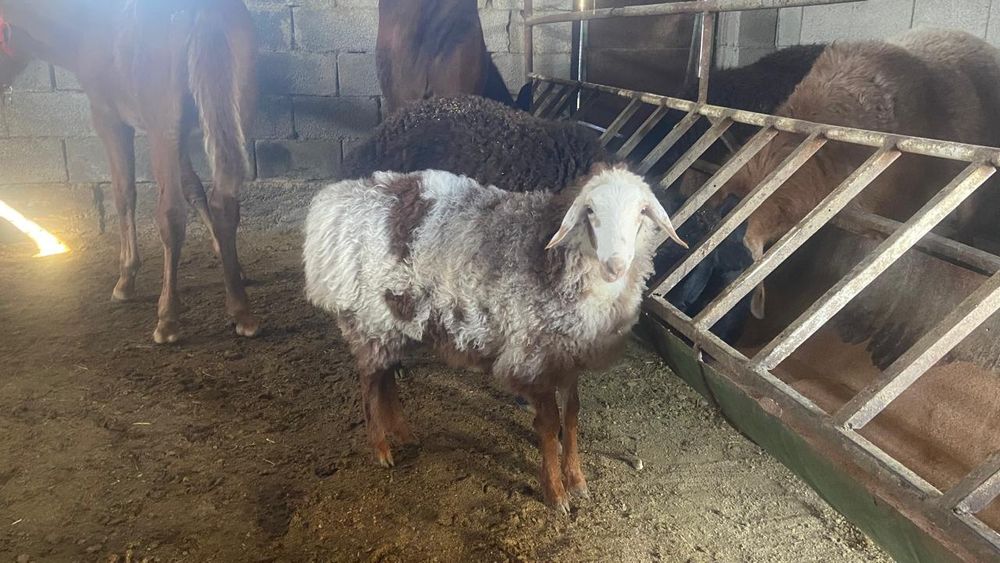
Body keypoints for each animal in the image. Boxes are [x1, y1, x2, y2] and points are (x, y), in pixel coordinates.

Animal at [0, 0, 260, 344]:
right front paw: (228, 259)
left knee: (170, 214)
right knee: (224, 203)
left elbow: (124, 193)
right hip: (233, 115)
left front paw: (125, 279)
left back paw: (167, 319)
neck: (84, 29)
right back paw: (241, 311)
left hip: (162, 128)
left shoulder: (110, 121)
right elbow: (193, 187)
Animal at [303, 164, 685, 512]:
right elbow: (550, 425)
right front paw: (555, 492)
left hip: (394, 319)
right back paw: (381, 448)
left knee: (385, 378)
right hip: (369, 318)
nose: (615, 265)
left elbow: (573, 416)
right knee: (370, 382)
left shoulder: (567, 356)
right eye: (590, 211)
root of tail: (333, 203)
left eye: (642, 212)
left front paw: (576, 479)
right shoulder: (532, 356)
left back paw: (403, 433)